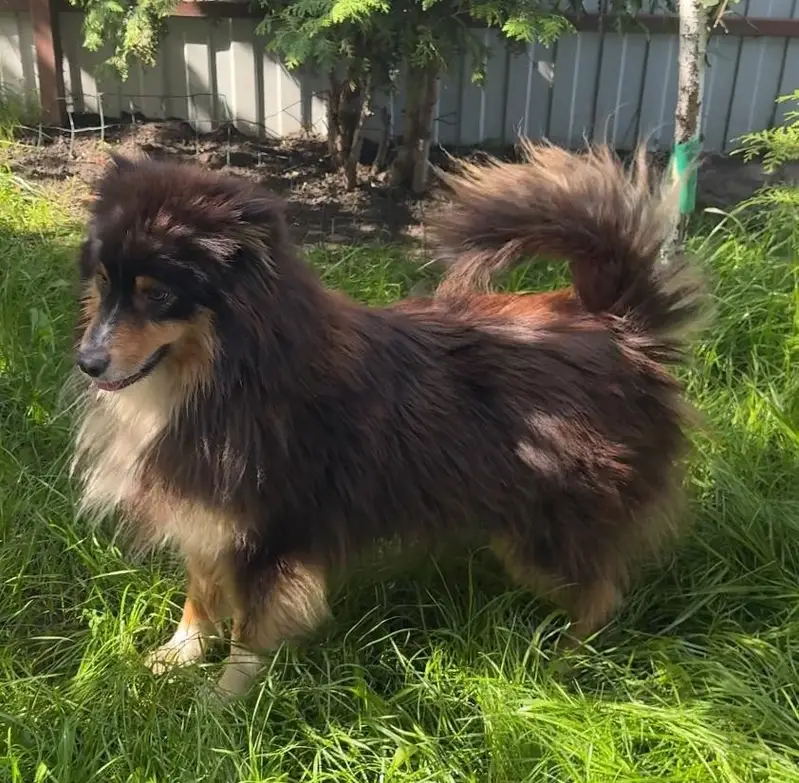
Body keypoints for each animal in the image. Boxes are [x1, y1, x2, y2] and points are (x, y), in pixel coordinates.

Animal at [70, 141, 704, 700]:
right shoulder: (203, 510)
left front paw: (220, 703)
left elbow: (249, 629)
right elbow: (200, 593)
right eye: (102, 283)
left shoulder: (270, 533)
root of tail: (620, 325)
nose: (87, 362)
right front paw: (176, 657)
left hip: (547, 529)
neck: (228, 374)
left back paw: (564, 662)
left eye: (158, 296)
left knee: (601, 595)